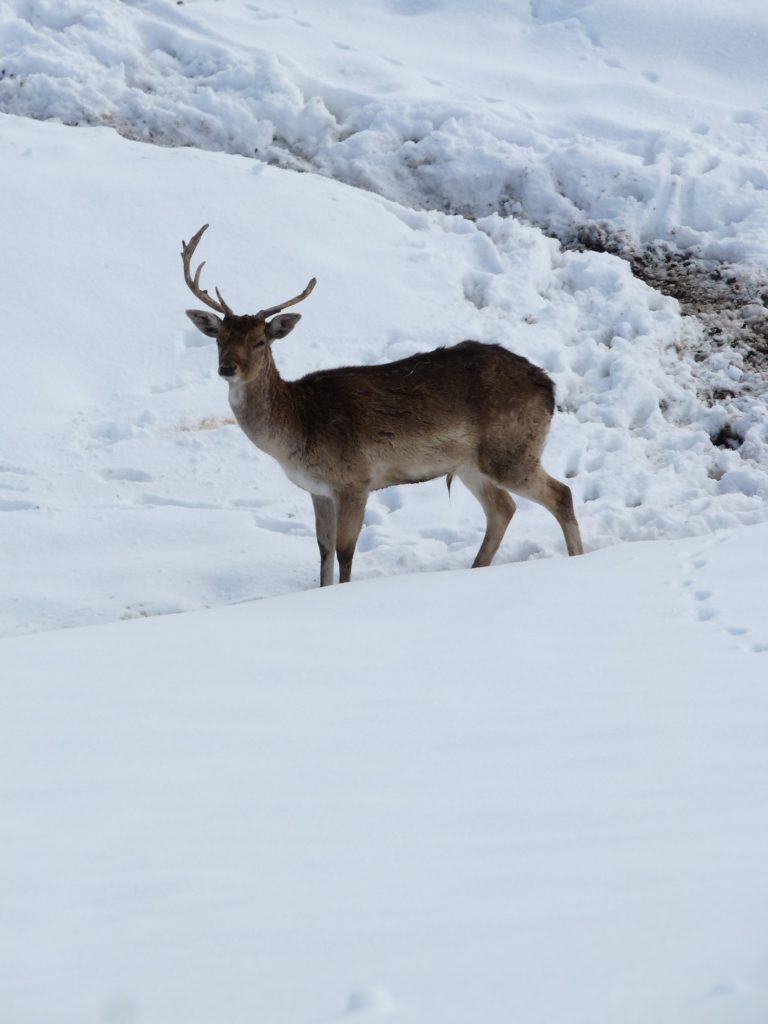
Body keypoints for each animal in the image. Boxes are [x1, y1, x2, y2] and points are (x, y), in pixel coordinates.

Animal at [183, 228, 585, 589]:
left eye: (260, 341)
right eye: (220, 338)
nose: (227, 368)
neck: (297, 429)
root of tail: (548, 387)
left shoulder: (354, 480)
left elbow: (345, 551)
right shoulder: (317, 489)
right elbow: (323, 550)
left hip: (510, 449)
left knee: (560, 494)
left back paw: (576, 560)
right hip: (470, 463)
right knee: (503, 509)